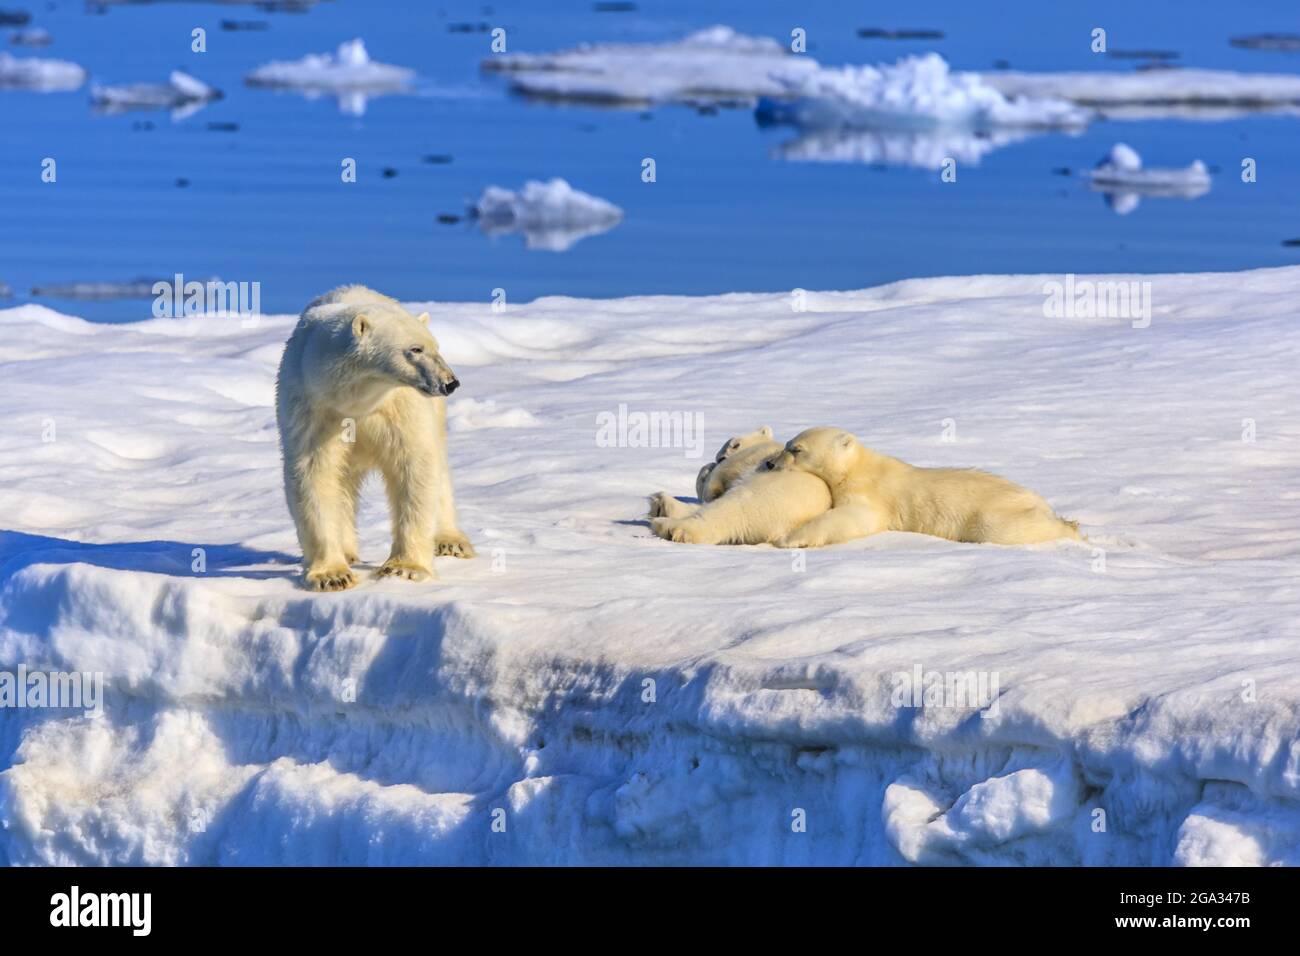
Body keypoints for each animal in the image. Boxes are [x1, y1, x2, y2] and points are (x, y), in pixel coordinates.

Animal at [276, 283, 475, 590]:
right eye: (415, 349)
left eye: (436, 347)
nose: (450, 382)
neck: (355, 400)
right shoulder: (312, 406)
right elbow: (315, 473)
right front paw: (332, 575)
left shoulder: (399, 406)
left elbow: (414, 467)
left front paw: (405, 568)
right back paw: (348, 551)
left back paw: (451, 541)